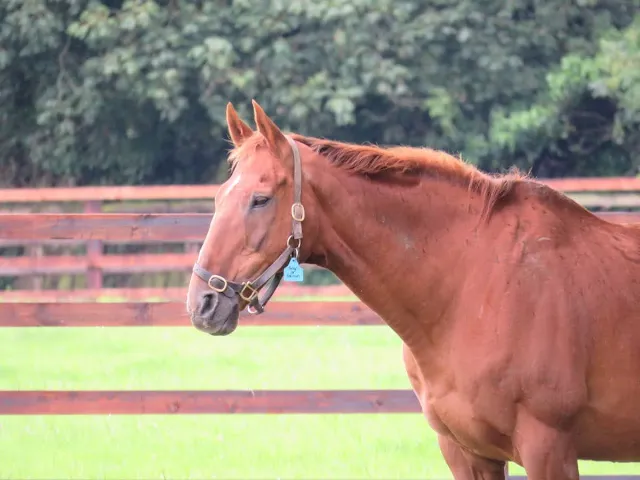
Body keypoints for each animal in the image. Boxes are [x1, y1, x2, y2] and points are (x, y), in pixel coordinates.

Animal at [185, 99, 640, 478]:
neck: (471, 287)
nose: (202, 304)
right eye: (219, 196)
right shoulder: (467, 453)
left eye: (260, 199)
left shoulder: (548, 449)